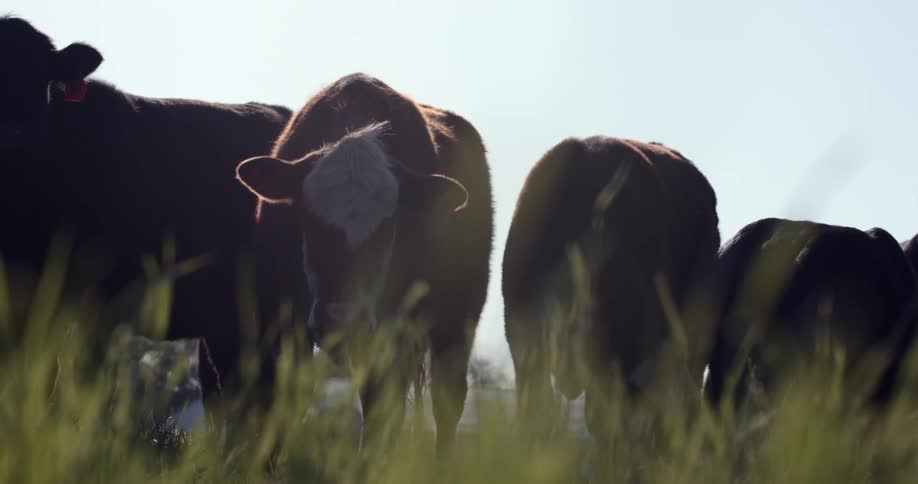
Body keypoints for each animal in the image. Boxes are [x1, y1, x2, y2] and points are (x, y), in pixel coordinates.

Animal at [234, 73, 493, 454]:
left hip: (457, 318)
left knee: (446, 402)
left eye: (388, 225)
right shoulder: (281, 320)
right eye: (308, 220)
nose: (341, 320)